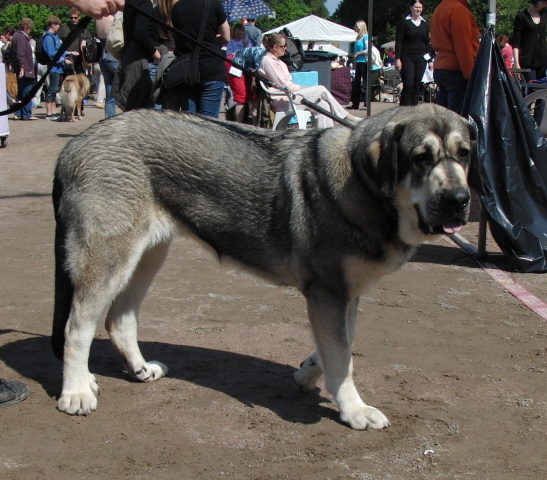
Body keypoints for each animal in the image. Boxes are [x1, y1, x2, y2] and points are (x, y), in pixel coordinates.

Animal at [52, 104, 480, 428]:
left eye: (464, 154)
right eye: (421, 158)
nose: (460, 200)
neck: (363, 183)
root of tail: (73, 146)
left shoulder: (345, 296)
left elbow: (337, 347)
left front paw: (307, 372)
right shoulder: (328, 293)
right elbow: (342, 357)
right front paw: (354, 410)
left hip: (149, 254)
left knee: (118, 320)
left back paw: (138, 370)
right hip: (109, 258)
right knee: (78, 326)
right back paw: (76, 391)